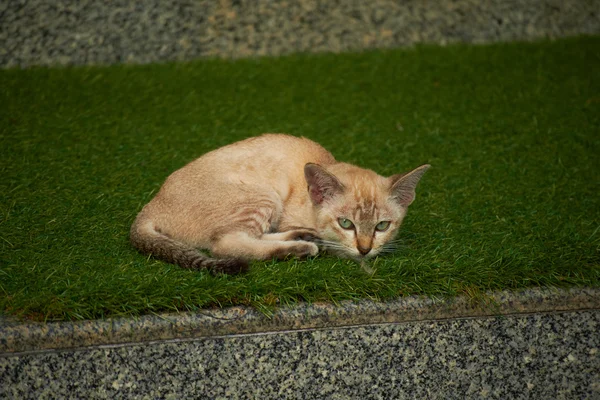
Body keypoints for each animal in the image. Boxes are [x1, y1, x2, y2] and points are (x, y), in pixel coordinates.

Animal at [131, 134, 432, 276]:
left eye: (382, 226)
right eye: (346, 223)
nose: (365, 249)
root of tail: (150, 208)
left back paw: (301, 237)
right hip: (262, 195)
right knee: (227, 243)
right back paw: (301, 247)